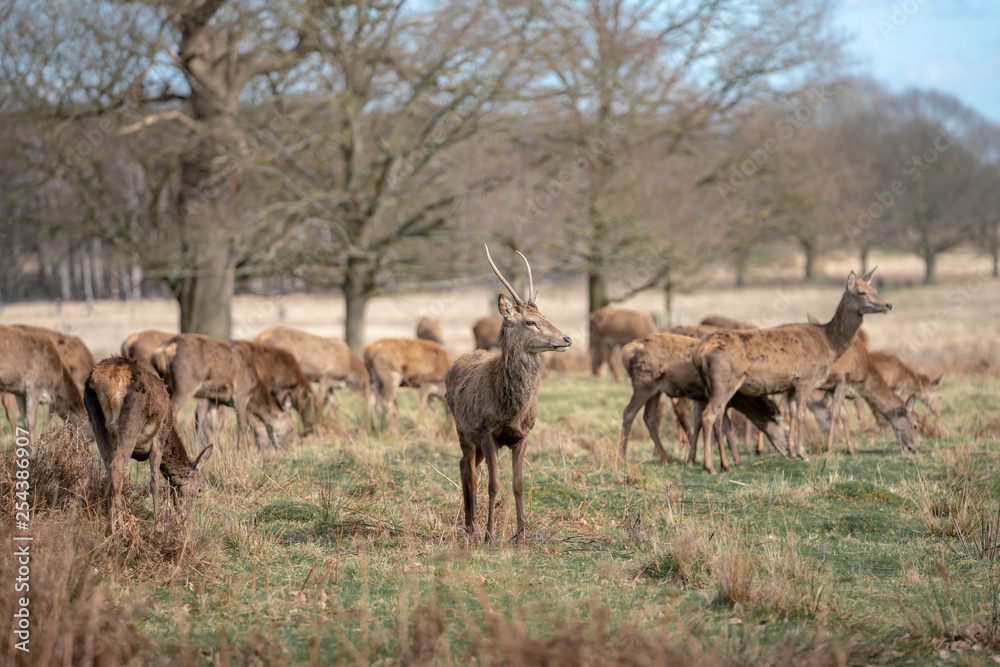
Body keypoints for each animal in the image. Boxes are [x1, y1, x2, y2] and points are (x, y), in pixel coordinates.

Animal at [84, 358, 215, 536]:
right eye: (198, 490)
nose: (188, 523)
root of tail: (107, 379)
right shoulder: (158, 442)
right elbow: (155, 483)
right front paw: (158, 528)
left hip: (96, 418)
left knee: (109, 468)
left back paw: (109, 526)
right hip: (132, 420)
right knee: (117, 467)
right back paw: (119, 529)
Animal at [150, 336, 292, 452]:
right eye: (291, 429)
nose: (285, 451)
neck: (253, 386)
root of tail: (163, 350)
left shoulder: (213, 398)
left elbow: (214, 425)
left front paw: (216, 452)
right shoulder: (240, 395)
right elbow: (242, 425)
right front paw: (243, 452)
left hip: (166, 383)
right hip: (185, 384)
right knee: (172, 411)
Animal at [446, 245, 572, 544]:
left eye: (546, 317)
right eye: (530, 321)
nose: (567, 339)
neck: (510, 409)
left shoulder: (523, 435)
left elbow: (517, 484)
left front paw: (522, 534)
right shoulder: (488, 431)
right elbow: (494, 484)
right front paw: (490, 535)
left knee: (464, 466)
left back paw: (469, 525)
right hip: (463, 431)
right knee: (471, 472)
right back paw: (473, 528)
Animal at [616, 332, 788, 472]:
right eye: (787, 430)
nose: (789, 451)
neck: (740, 396)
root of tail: (624, 352)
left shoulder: (700, 399)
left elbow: (698, 423)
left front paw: (691, 460)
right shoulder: (720, 399)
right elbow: (726, 428)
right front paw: (733, 463)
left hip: (655, 390)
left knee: (649, 417)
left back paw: (666, 458)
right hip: (643, 383)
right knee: (628, 412)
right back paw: (622, 457)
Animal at [696, 268, 892, 468]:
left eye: (875, 289)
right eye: (861, 292)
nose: (888, 304)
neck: (828, 345)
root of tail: (702, 350)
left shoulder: (790, 385)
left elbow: (790, 414)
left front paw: (791, 452)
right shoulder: (805, 379)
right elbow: (801, 416)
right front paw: (804, 454)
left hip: (711, 386)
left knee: (719, 418)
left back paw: (724, 464)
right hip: (724, 382)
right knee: (709, 415)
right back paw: (710, 466)